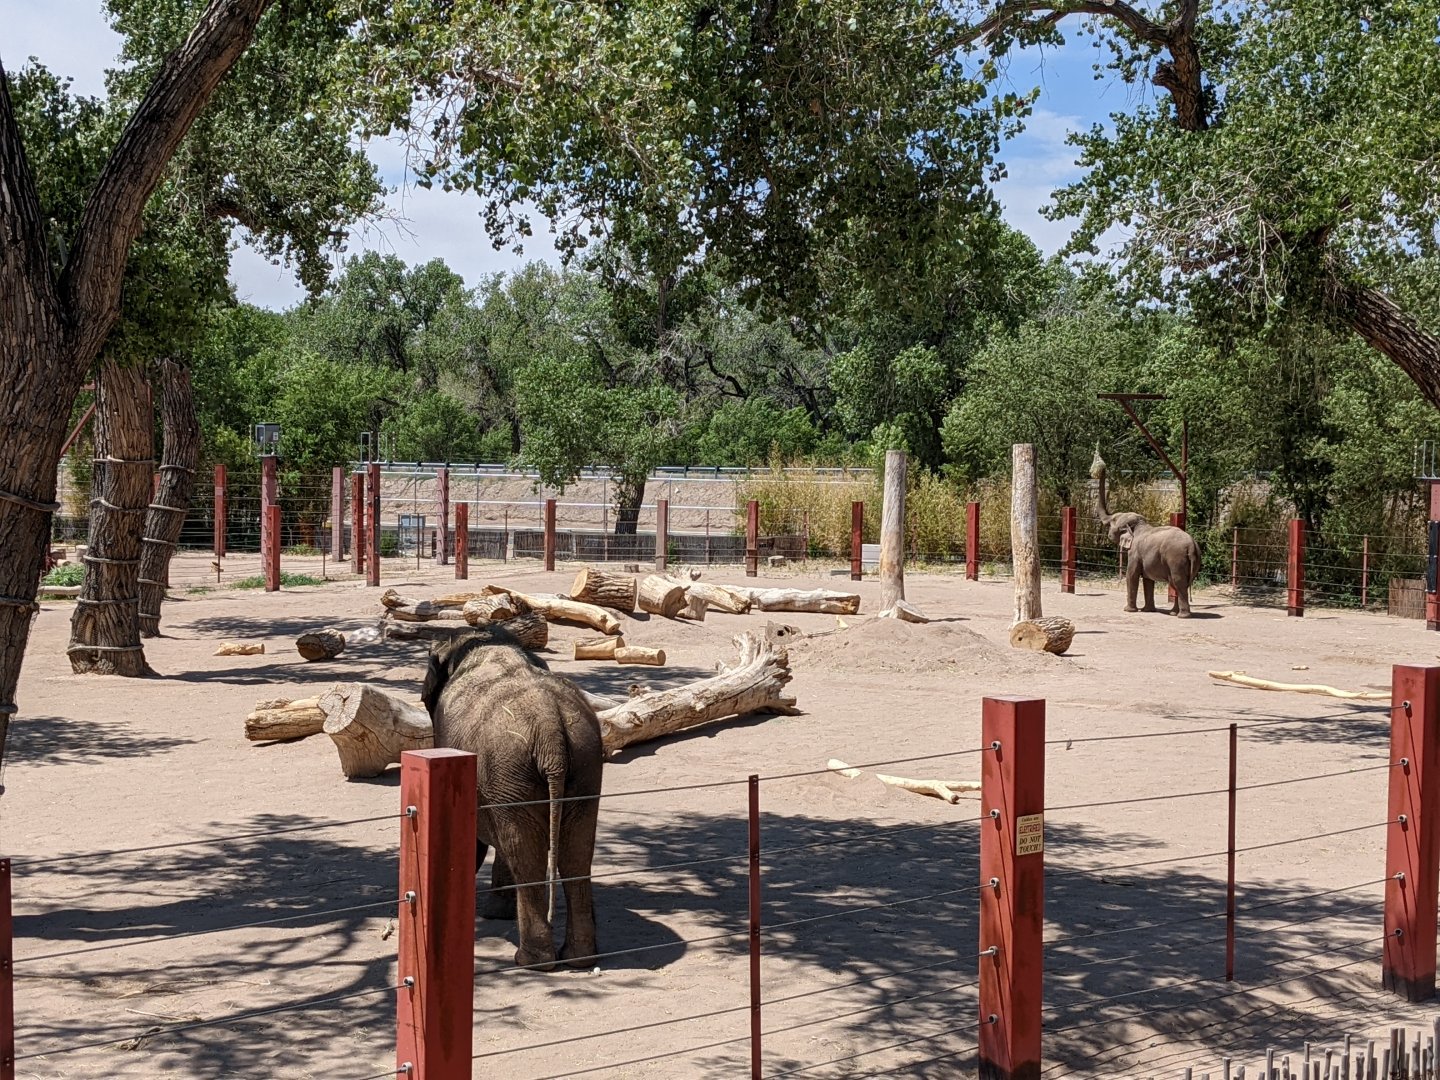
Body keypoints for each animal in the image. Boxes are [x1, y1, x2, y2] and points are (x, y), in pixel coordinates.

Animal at [420, 624, 604, 971]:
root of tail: (551, 731)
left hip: (512, 768)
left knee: (525, 854)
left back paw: (530, 961)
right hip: (582, 767)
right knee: (575, 854)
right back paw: (579, 959)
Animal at [1092, 452, 1202, 617]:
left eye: (1112, 522)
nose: (1102, 466)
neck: (1139, 525)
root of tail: (1192, 546)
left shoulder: (1135, 553)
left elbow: (1132, 575)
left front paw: (1129, 610)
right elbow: (1148, 579)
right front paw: (1147, 610)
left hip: (1176, 559)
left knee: (1178, 583)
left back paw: (1182, 616)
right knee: (1178, 583)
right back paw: (1173, 613)